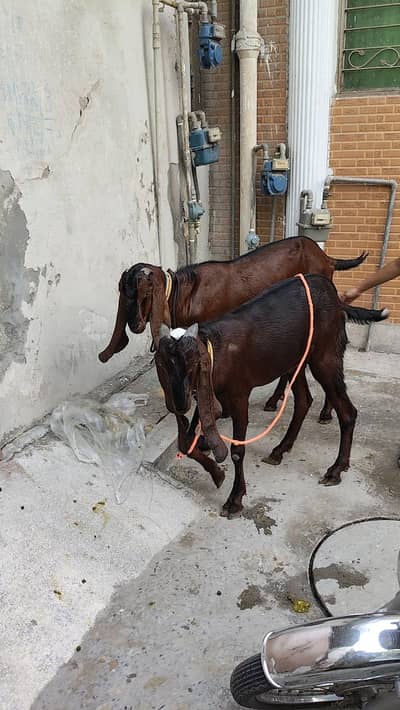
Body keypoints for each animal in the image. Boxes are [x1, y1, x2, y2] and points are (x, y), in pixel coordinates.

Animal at [99, 236, 367, 421]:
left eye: (144, 293)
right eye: (124, 293)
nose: (134, 325)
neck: (183, 295)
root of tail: (326, 257)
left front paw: (222, 412)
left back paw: (325, 412)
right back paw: (275, 400)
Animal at [154, 275, 388, 518]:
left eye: (193, 364)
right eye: (161, 365)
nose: (179, 404)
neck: (216, 350)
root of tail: (336, 297)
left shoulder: (239, 395)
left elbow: (237, 450)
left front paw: (234, 499)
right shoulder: (207, 393)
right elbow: (186, 441)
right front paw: (216, 473)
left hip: (326, 355)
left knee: (347, 411)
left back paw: (336, 469)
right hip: (295, 360)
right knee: (304, 400)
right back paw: (280, 450)